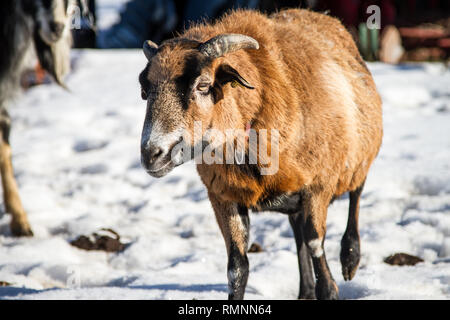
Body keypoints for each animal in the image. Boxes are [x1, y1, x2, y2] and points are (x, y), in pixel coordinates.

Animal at [138, 9, 384, 300]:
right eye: (145, 91)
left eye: (203, 85)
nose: (151, 154)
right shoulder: (223, 196)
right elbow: (237, 268)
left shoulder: (318, 186)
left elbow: (316, 244)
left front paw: (330, 288)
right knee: (298, 233)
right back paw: (305, 290)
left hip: (359, 153)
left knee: (356, 194)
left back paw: (350, 258)